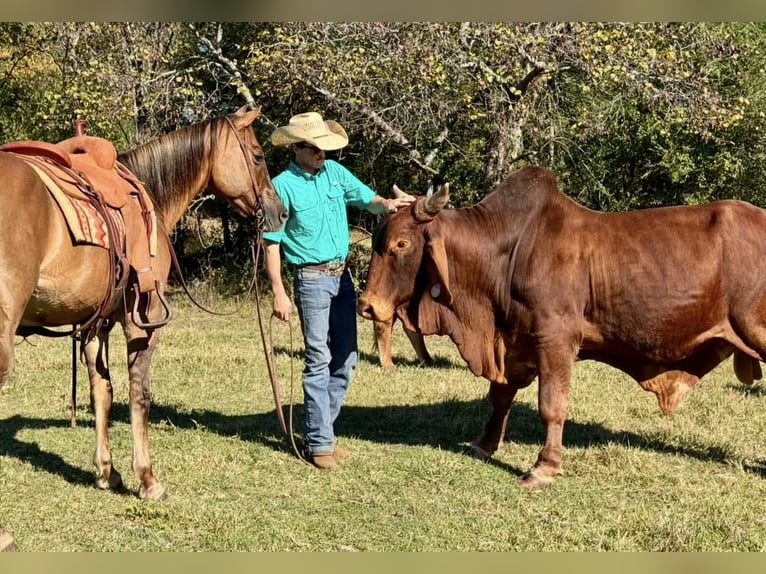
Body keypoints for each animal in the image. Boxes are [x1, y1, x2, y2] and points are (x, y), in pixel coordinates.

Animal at [0, 105, 287, 500]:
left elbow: (102, 391)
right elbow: (140, 394)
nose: (281, 213)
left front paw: (107, 472)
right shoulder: (143, 320)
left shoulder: (97, 322)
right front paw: (147, 479)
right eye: (257, 156)